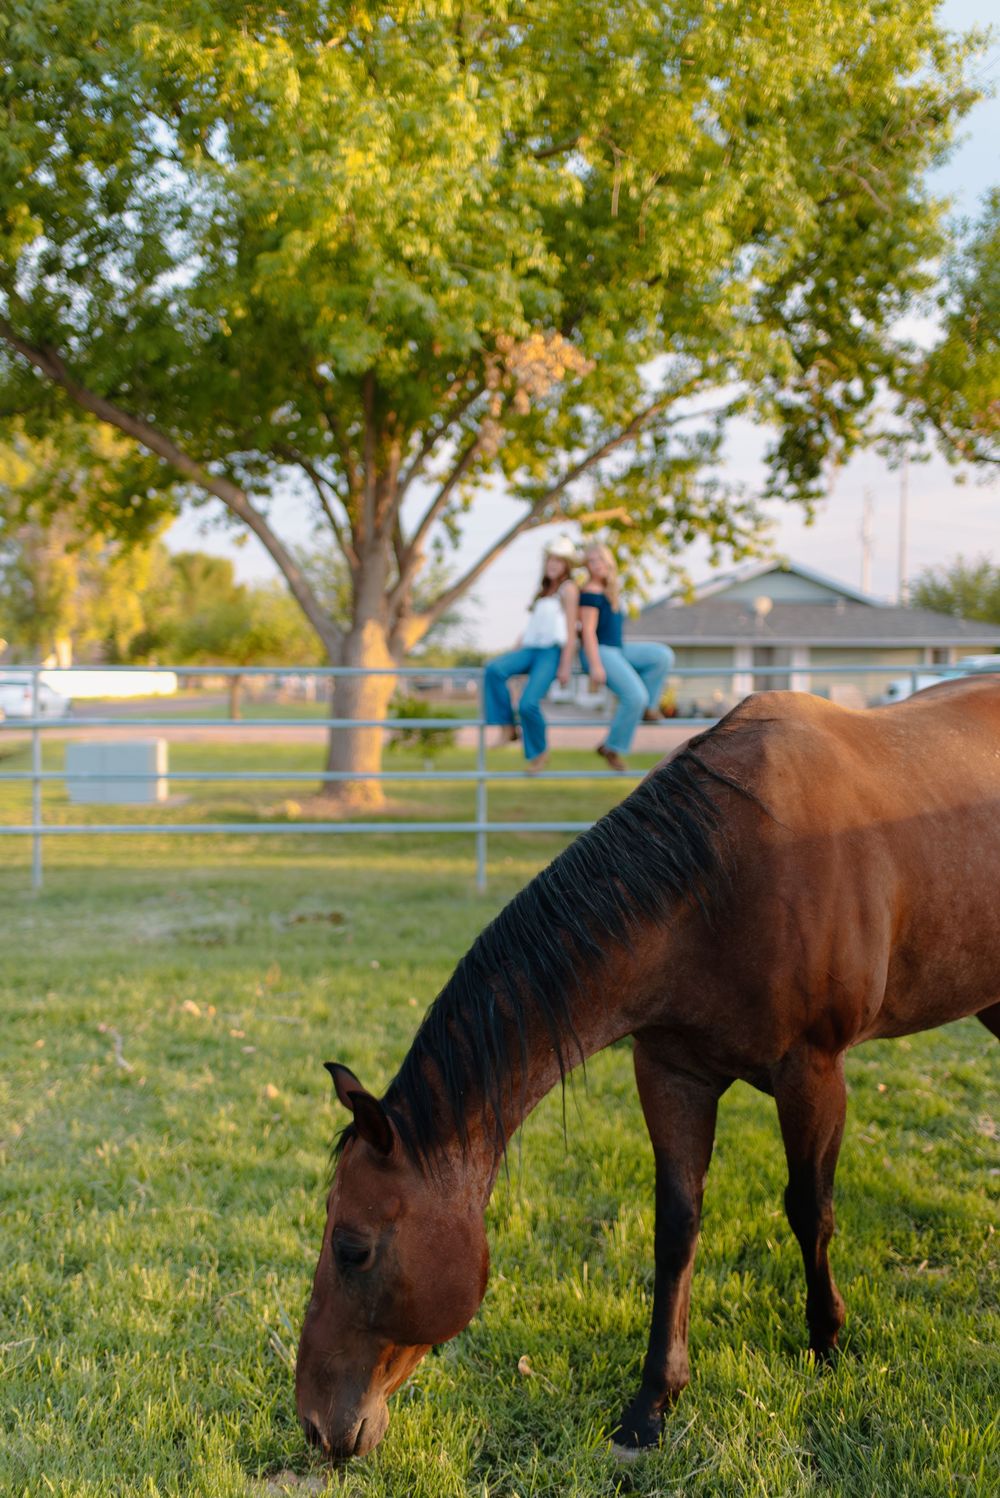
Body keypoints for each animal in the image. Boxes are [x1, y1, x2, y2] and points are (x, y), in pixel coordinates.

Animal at [296, 675, 1000, 1462]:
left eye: (352, 1248)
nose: (315, 1424)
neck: (722, 880)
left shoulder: (814, 1074)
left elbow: (809, 1210)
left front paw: (826, 1341)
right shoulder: (670, 1074)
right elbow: (676, 1227)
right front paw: (654, 1401)